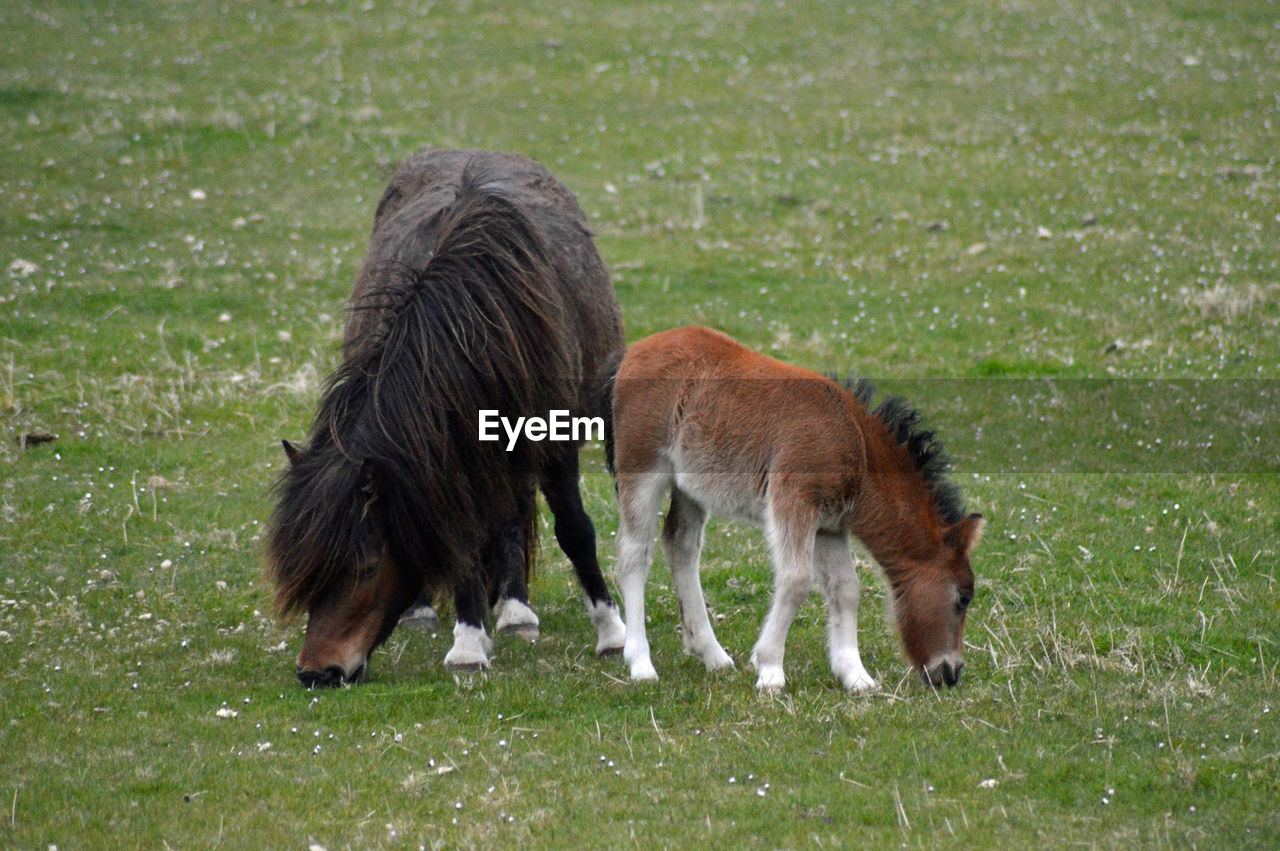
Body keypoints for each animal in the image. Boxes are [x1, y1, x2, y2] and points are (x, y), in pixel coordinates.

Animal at [268, 149, 624, 685]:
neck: (477, 320)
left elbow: (576, 530)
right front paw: (469, 644)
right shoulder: (450, 454)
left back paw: (516, 609)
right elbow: (457, 542)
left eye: (367, 566)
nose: (319, 672)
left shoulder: (553, 439)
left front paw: (612, 632)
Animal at [604, 325, 983, 691]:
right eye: (963, 598)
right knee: (634, 553)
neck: (855, 442)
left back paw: (712, 654)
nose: (951, 673)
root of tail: (633, 353)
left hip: (691, 487)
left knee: (680, 545)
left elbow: (846, 587)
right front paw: (770, 668)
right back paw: (640, 663)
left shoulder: (830, 525)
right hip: (643, 467)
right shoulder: (794, 501)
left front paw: (854, 675)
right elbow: (796, 580)